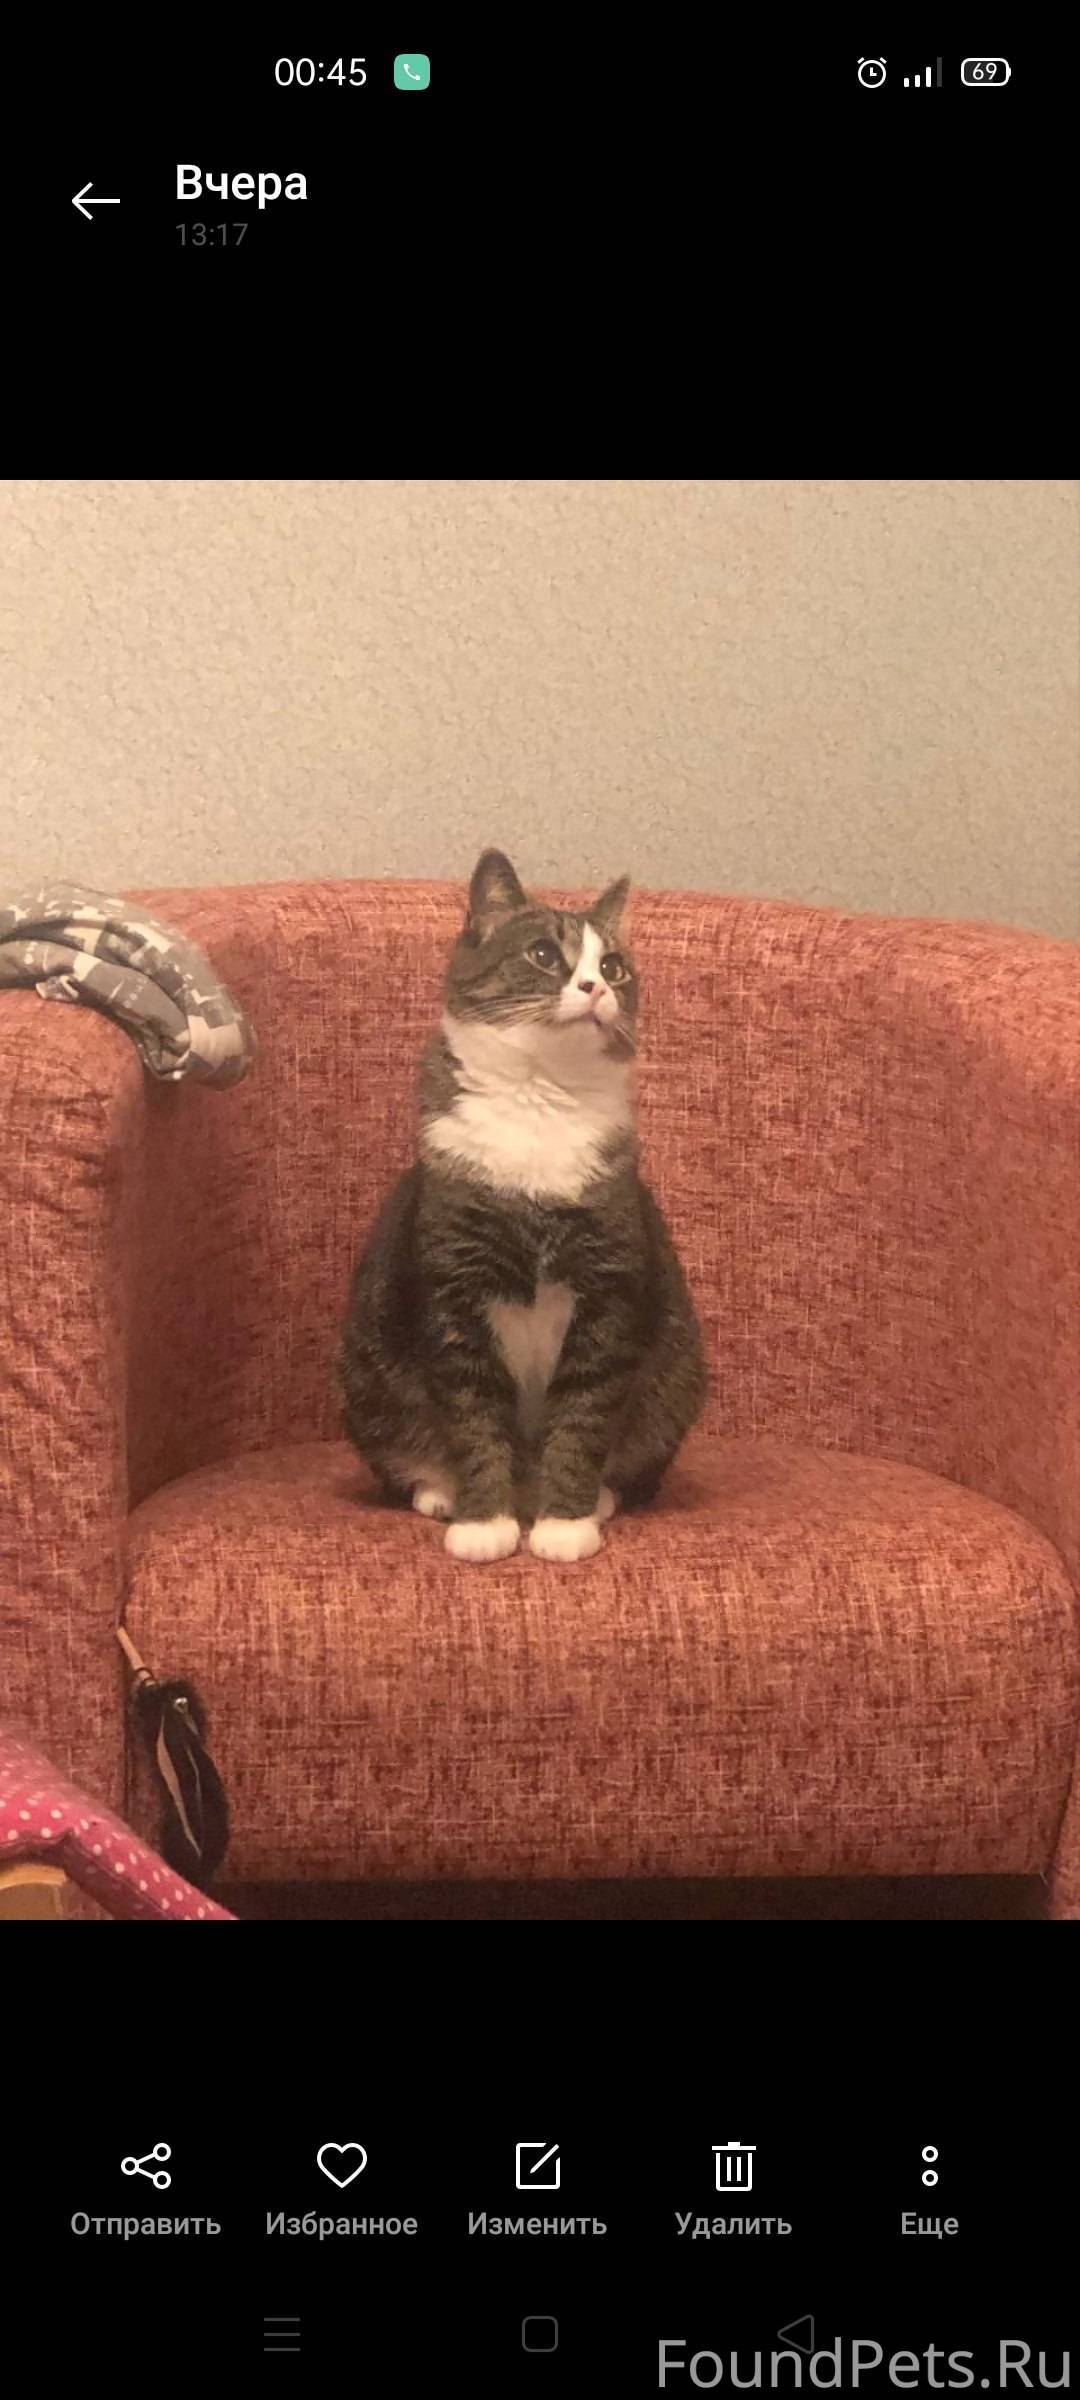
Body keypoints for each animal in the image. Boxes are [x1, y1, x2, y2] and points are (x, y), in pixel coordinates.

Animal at [339, 848, 707, 1563]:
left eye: (614, 965)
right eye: (542, 954)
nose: (595, 988)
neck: (542, 1098)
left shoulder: (608, 1285)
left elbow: (584, 1409)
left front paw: (565, 1524)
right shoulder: (455, 1282)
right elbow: (473, 1414)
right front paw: (484, 1524)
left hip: (676, 1377)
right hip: (368, 1377)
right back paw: (443, 1492)